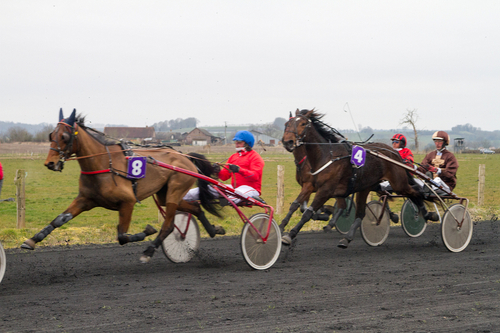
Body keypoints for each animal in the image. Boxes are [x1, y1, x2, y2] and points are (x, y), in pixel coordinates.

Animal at [20, 109, 223, 262]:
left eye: (64, 135)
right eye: (50, 135)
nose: (50, 163)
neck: (103, 164)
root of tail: (185, 156)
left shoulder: (128, 202)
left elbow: (122, 236)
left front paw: (148, 230)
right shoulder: (85, 199)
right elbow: (60, 219)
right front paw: (31, 240)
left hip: (175, 189)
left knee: (169, 226)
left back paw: (149, 251)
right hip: (164, 195)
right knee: (195, 208)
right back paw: (213, 230)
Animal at [282, 108, 426, 246]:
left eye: (303, 123)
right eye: (287, 123)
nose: (287, 142)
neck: (326, 156)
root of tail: (395, 153)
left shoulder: (325, 190)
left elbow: (308, 212)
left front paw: (291, 234)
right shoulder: (309, 185)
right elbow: (295, 205)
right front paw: (282, 226)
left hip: (398, 183)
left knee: (415, 192)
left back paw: (423, 212)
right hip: (368, 186)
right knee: (360, 209)